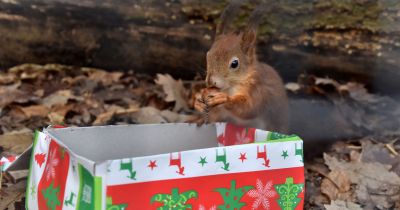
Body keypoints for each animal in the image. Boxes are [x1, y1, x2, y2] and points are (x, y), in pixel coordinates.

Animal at [193, 1, 288, 132]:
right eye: (208, 55)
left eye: (234, 63)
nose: (211, 81)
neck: (230, 87)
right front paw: (198, 100)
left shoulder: (258, 91)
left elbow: (249, 109)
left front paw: (224, 99)